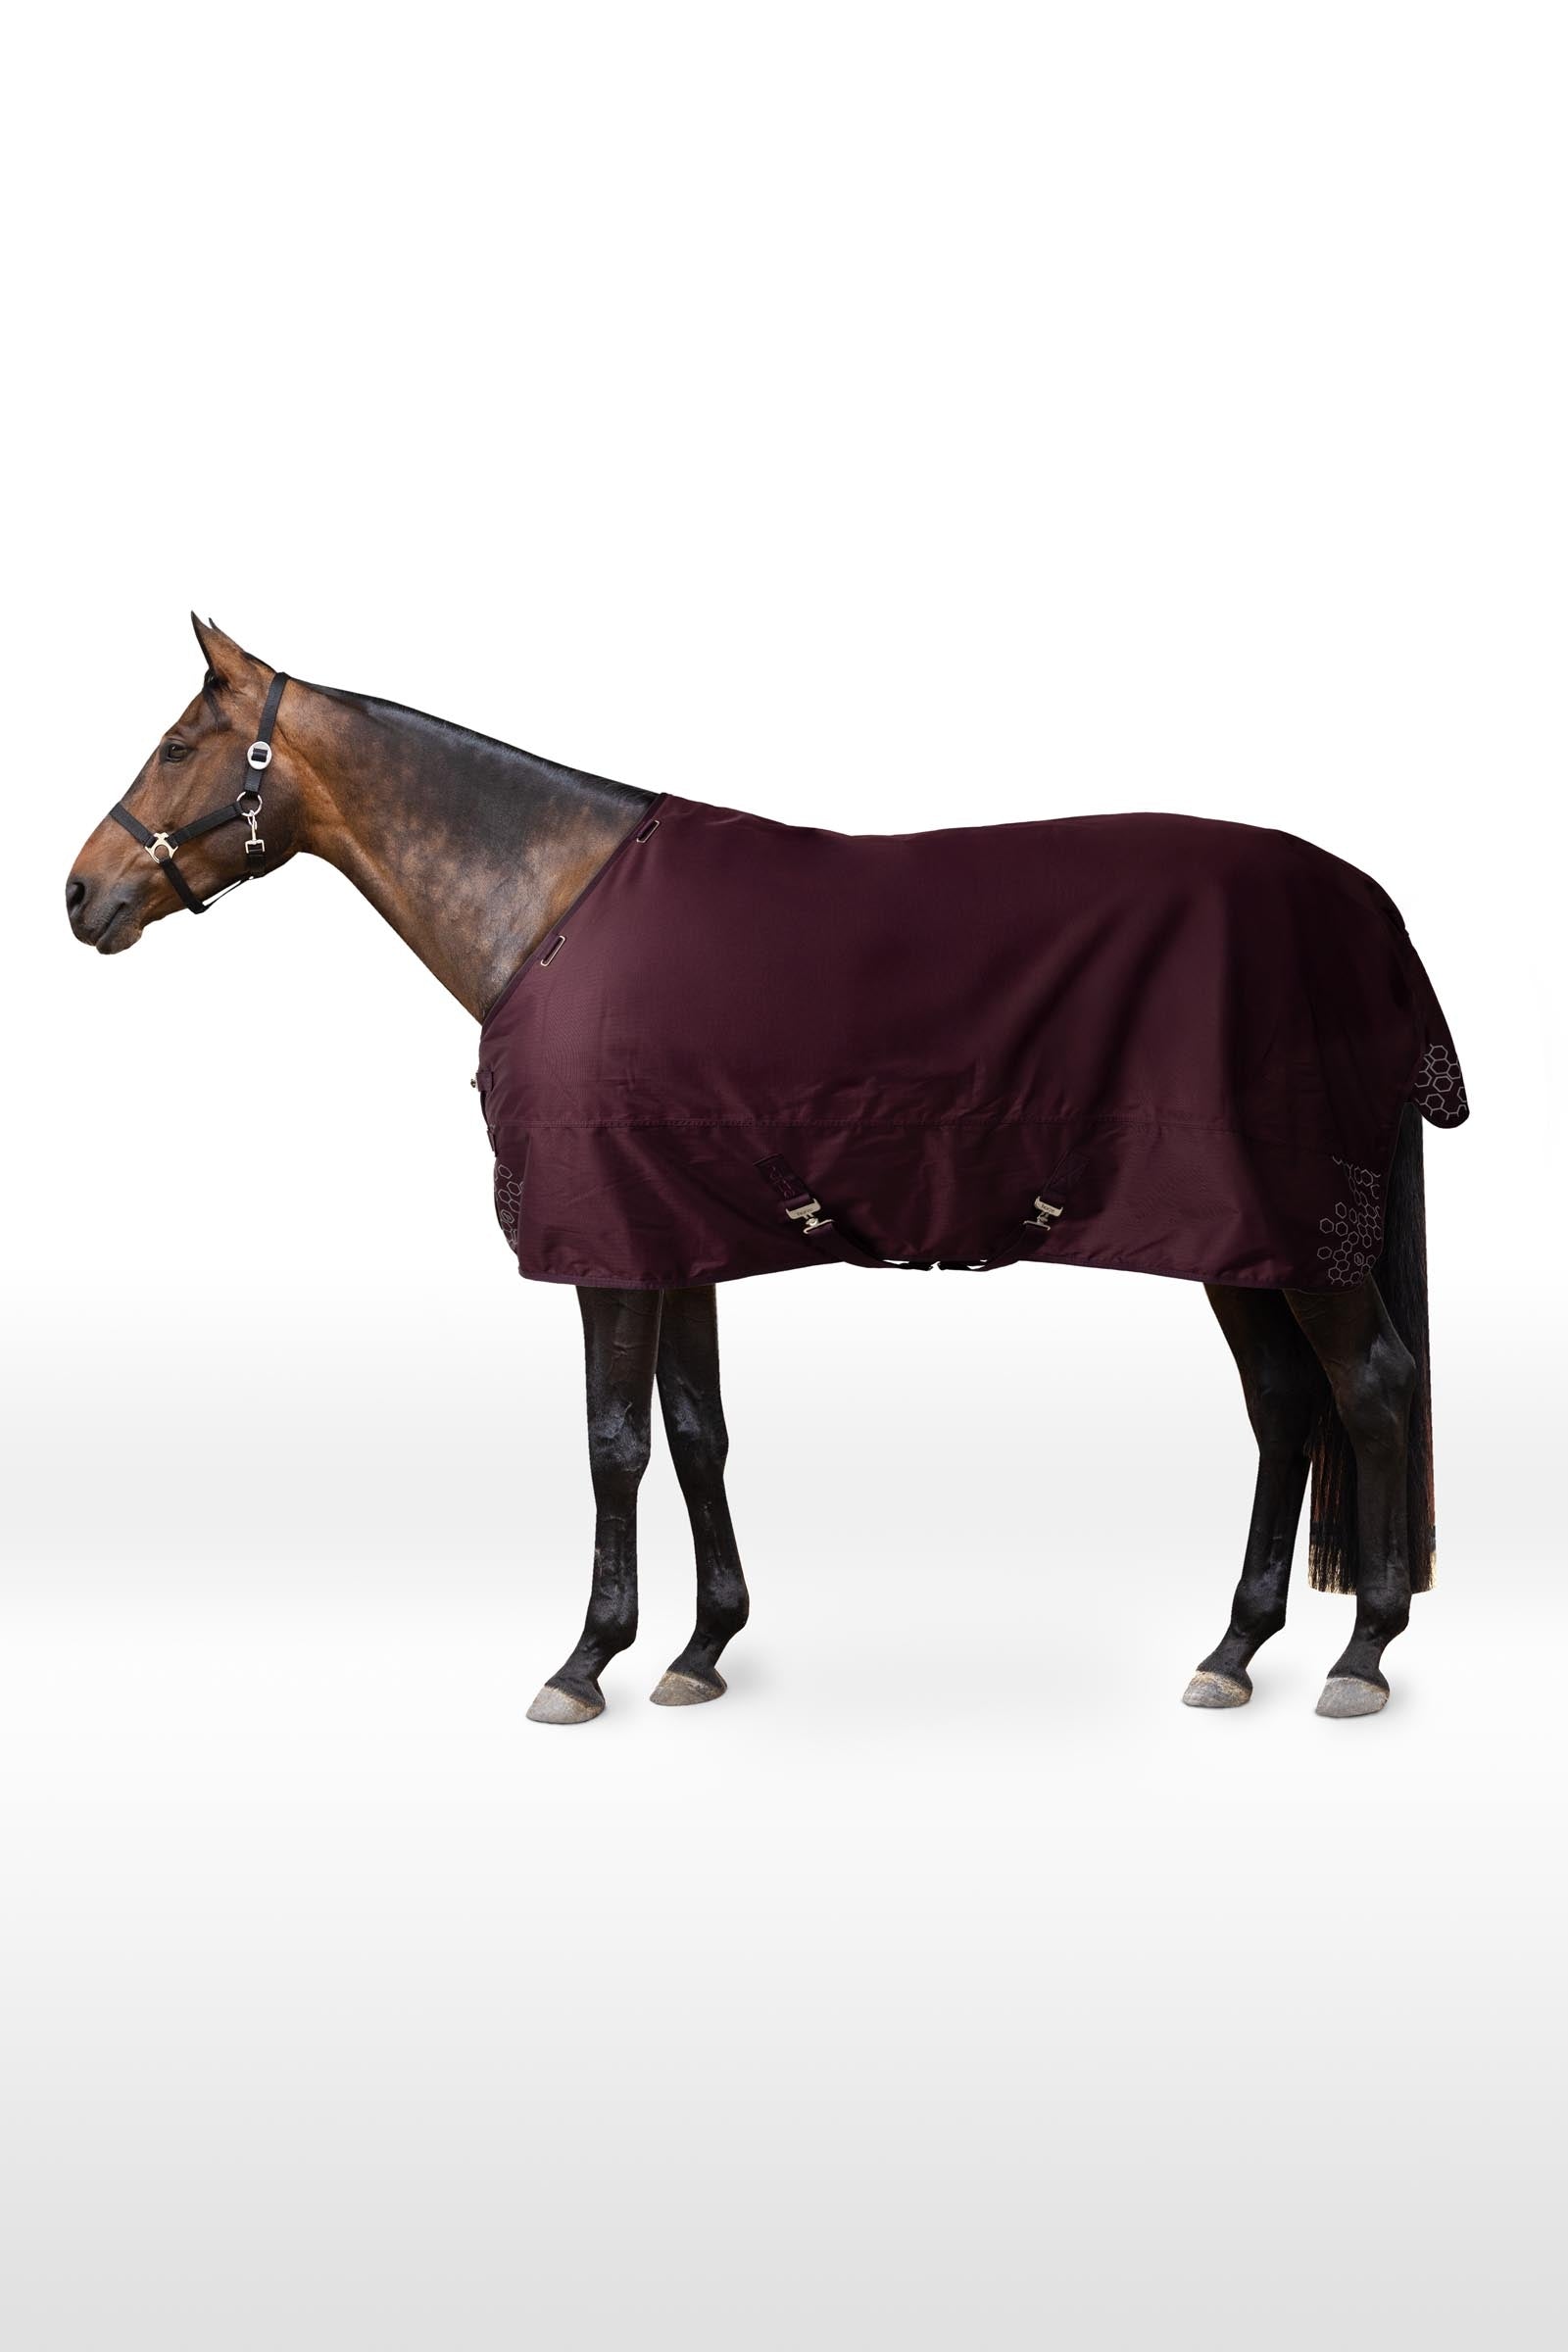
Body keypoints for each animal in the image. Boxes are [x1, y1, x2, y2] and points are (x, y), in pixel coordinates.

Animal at [66, 618, 1466, 1726]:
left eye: (179, 747)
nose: (81, 895)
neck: (556, 909)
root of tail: (1367, 912)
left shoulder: (606, 1248)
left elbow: (614, 1444)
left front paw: (586, 1662)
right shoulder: (670, 1234)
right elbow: (697, 1431)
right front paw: (700, 1648)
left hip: (1295, 1238)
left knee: (1371, 1389)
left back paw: (1362, 1655)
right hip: (1239, 1241)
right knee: (1285, 1404)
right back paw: (1235, 1649)